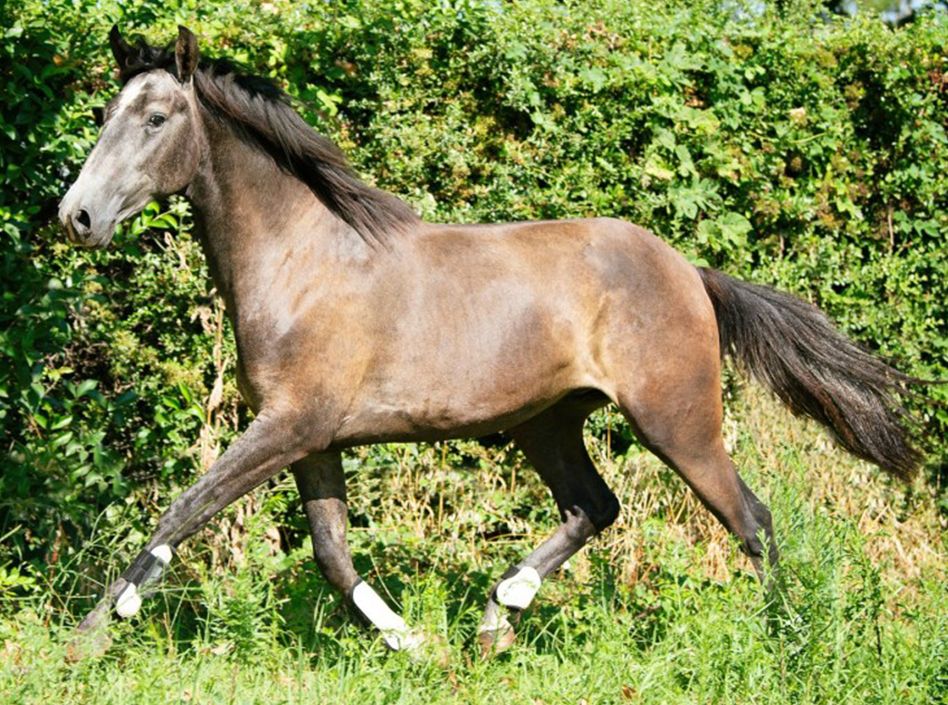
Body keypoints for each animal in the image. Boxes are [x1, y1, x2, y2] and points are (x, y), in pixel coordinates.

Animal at [55, 26, 924, 656]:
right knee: (595, 505)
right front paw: (411, 644)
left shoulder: (288, 426)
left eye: (156, 118)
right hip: (547, 421)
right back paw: (497, 613)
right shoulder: (312, 438)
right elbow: (332, 555)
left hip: (677, 422)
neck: (302, 261)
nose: (76, 217)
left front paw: (86, 637)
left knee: (753, 520)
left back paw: (788, 642)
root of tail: (689, 271)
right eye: (102, 117)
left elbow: (180, 512)